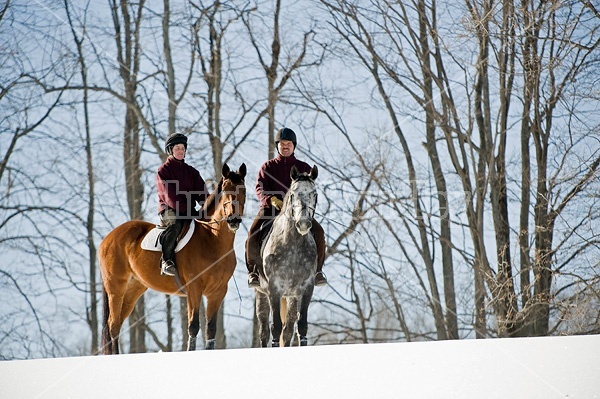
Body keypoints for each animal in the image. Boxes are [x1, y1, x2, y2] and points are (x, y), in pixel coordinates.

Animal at [99, 164, 245, 354]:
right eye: (226, 189)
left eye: (243, 190)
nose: (234, 220)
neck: (211, 240)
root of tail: (108, 238)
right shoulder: (194, 289)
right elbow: (193, 326)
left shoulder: (218, 292)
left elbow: (211, 329)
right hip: (116, 288)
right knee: (113, 325)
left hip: (133, 288)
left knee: (118, 323)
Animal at [253, 165, 318, 346]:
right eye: (294, 193)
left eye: (314, 194)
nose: (303, 223)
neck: (293, 246)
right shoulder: (274, 289)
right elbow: (275, 328)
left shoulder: (307, 288)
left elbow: (301, 326)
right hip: (261, 294)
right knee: (264, 331)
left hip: (292, 297)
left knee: (288, 330)